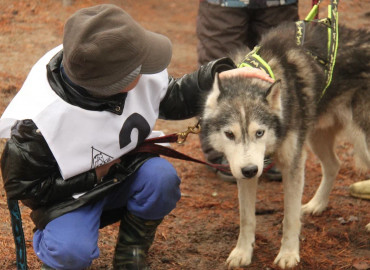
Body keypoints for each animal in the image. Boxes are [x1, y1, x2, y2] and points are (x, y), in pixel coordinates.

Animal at [201, 21, 368, 268]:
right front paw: (243, 252)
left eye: (259, 132)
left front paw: (288, 254)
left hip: (361, 143)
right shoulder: (244, 171)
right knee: (334, 165)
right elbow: (246, 218)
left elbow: (290, 217)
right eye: (230, 134)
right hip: (316, 137)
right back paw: (317, 204)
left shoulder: (292, 166)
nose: (250, 170)